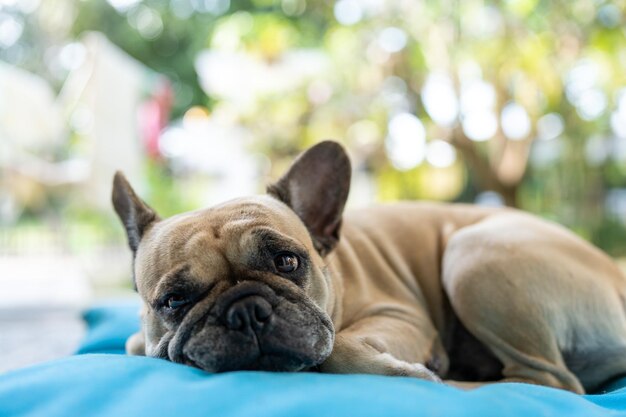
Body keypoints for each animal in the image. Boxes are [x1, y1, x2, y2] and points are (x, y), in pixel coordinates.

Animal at [113, 141, 626, 394]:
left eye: (287, 262)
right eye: (174, 301)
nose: (246, 310)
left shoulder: (400, 315)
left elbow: (339, 348)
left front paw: (411, 372)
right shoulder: (139, 340)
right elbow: (138, 346)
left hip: (473, 256)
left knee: (549, 381)